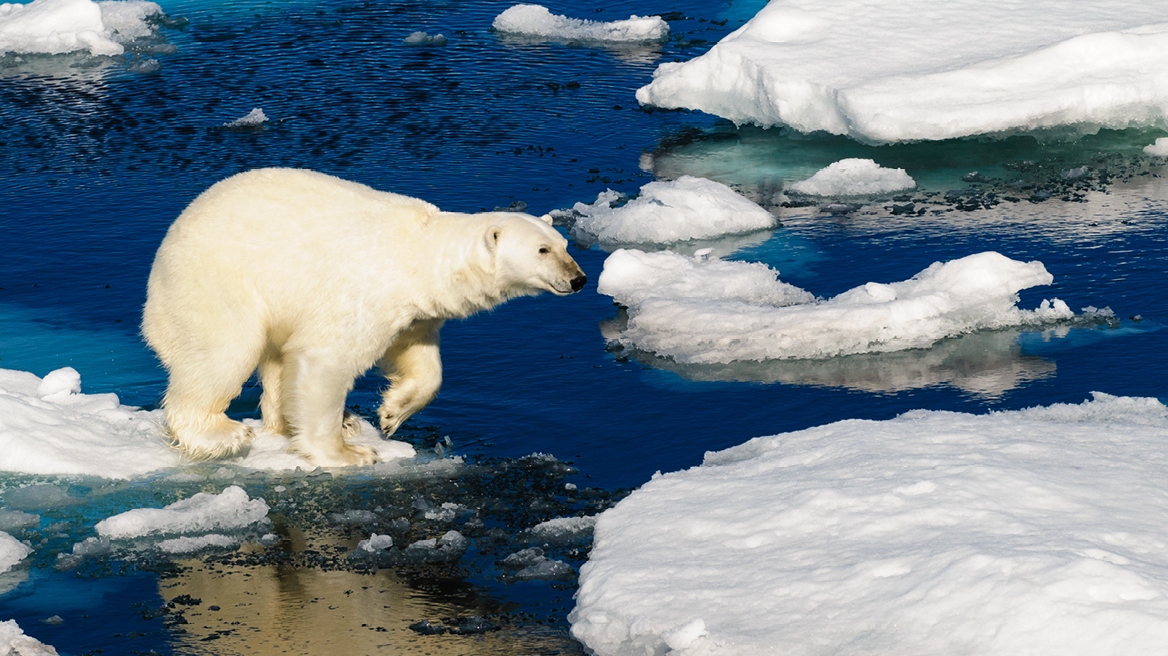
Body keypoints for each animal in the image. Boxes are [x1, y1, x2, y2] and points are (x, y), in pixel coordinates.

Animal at [142, 168, 588, 464]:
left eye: (564, 243)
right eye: (542, 250)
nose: (579, 278)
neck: (418, 255)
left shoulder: (414, 310)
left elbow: (418, 357)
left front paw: (392, 414)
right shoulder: (364, 289)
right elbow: (325, 358)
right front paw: (348, 454)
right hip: (216, 283)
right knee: (223, 351)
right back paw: (221, 434)